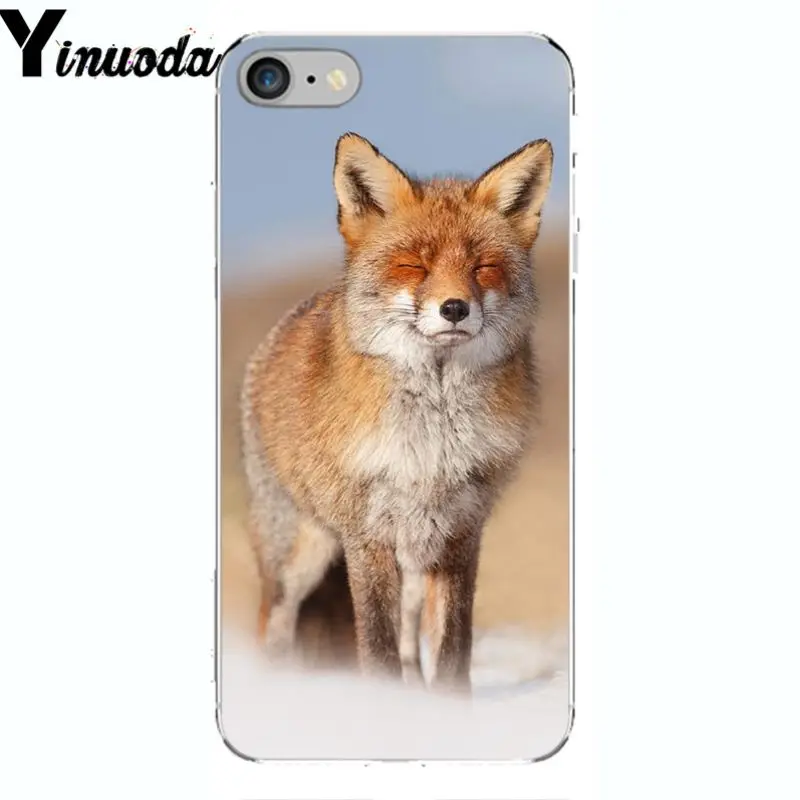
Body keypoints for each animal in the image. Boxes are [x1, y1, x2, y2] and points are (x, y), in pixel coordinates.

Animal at [240, 132, 553, 691]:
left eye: (482, 267)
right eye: (413, 266)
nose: (455, 308)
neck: (434, 441)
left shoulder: (460, 534)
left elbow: (451, 652)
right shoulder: (367, 536)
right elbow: (377, 650)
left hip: (412, 560)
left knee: (411, 647)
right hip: (299, 554)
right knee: (273, 625)